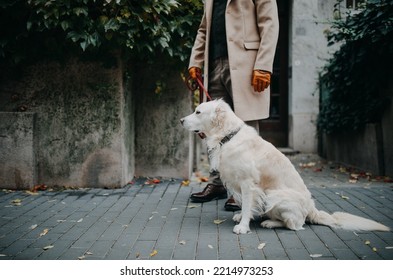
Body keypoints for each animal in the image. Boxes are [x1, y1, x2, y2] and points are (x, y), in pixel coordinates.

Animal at [181, 99, 388, 235]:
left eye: (198, 112)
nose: (181, 120)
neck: (227, 136)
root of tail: (311, 209)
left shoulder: (248, 184)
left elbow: (247, 204)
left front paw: (243, 226)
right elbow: (243, 204)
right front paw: (241, 216)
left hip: (275, 196)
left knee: (294, 225)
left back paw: (270, 223)